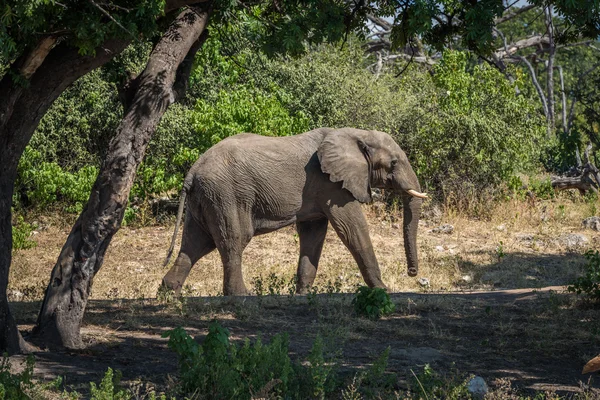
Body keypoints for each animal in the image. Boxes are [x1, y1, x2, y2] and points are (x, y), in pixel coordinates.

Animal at [162, 126, 428, 296]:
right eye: (393, 163)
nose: (412, 273)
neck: (357, 133)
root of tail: (193, 169)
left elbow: (314, 234)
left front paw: (303, 294)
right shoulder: (332, 185)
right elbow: (352, 228)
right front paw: (383, 291)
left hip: (205, 198)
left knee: (195, 243)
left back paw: (168, 292)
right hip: (226, 195)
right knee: (233, 239)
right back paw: (240, 295)